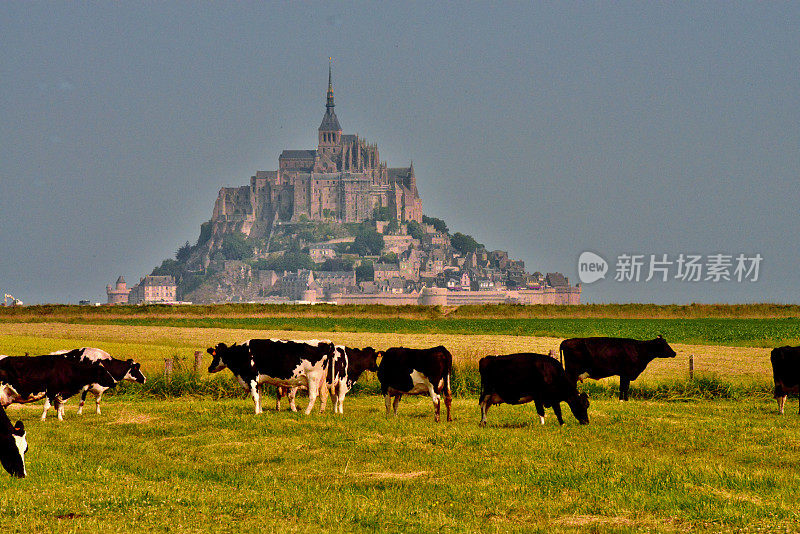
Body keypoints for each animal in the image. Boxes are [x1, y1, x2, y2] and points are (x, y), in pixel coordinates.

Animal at [208, 342, 336, 416]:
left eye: (215, 355)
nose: (209, 368)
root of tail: (326, 343)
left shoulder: (252, 378)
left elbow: (254, 397)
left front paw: (256, 413)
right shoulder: (258, 382)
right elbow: (259, 397)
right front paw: (260, 412)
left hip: (312, 378)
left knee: (313, 396)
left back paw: (306, 412)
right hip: (321, 380)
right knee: (324, 394)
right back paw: (320, 412)